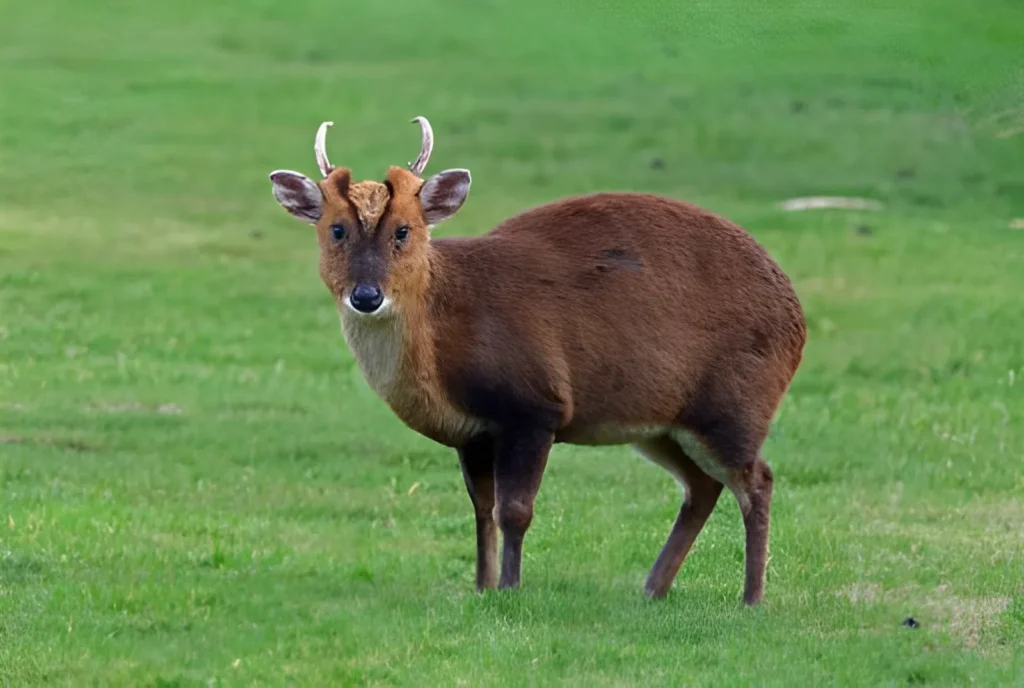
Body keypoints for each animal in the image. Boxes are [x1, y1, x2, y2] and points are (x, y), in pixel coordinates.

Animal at [267, 116, 806, 606]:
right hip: (662, 424)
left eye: (404, 230)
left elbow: (515, 509)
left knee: (757, 480)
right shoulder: (472, 432)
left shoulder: (535, 406)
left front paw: (510, 588)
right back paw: (653, 588)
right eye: (336, 230)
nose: (366, 295)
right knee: (702, 486)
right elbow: (482, 509)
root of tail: (796, 314)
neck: (445, 344)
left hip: (734, 403)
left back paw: (751, 598)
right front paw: (482, 587)